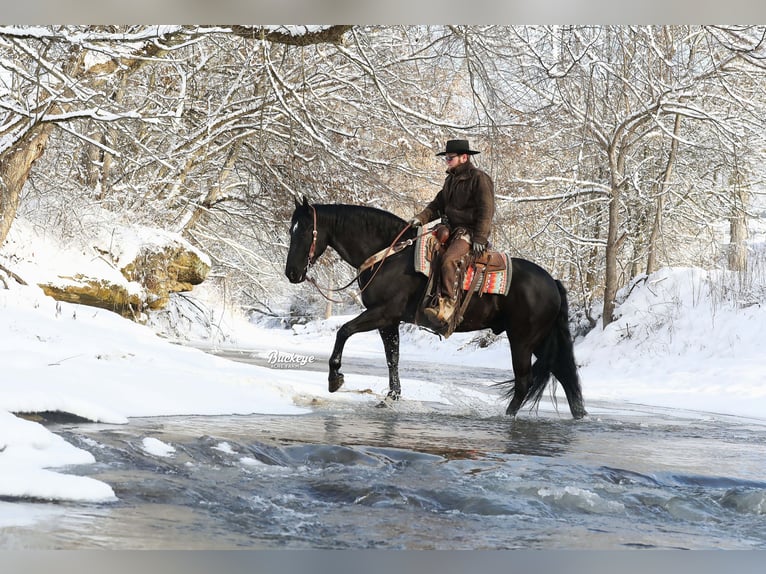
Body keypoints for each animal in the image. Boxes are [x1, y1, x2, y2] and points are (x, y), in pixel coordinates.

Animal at [284, 196, 592, 420]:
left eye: (304, 231)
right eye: (291, 230)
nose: (291, 273)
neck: (389, 256)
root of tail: (552, 281)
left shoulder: (382, 313)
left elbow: (344, 332)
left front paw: (334, 378)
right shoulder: (389, 322)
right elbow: (392, 358)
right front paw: (391, 398)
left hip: (523, 340)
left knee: (525, 382)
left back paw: (507, 416)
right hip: (540, 340)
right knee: (565, 374)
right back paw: (578, 416)